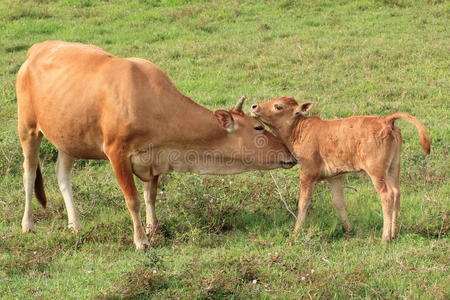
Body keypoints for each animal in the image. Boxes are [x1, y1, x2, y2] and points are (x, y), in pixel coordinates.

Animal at [14, 41, 296, 250]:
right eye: (258, 127)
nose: (290, 154)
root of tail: (36, 48)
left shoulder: (155, 158)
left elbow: (150, 197)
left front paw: (153, 228)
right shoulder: (116, 152)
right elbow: (133, 199)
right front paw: (141, 240)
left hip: (68, 135)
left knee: (63, 175)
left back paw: (75, 224)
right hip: (28, 127)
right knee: (28, 174)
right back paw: (27, 224)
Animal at [251, 97, 430, 243]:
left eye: (278, 106)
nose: (254, 106)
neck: (300, 131)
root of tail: (386, 120)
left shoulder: (307, 173)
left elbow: (303, 202)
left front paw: (296, 231)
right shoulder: (334, 176)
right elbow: (339, 201)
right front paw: (348, 230)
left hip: (376, 170)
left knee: (387, 194)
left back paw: (385, 237)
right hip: (394, 166)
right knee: (397, 192)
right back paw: (394, 233)